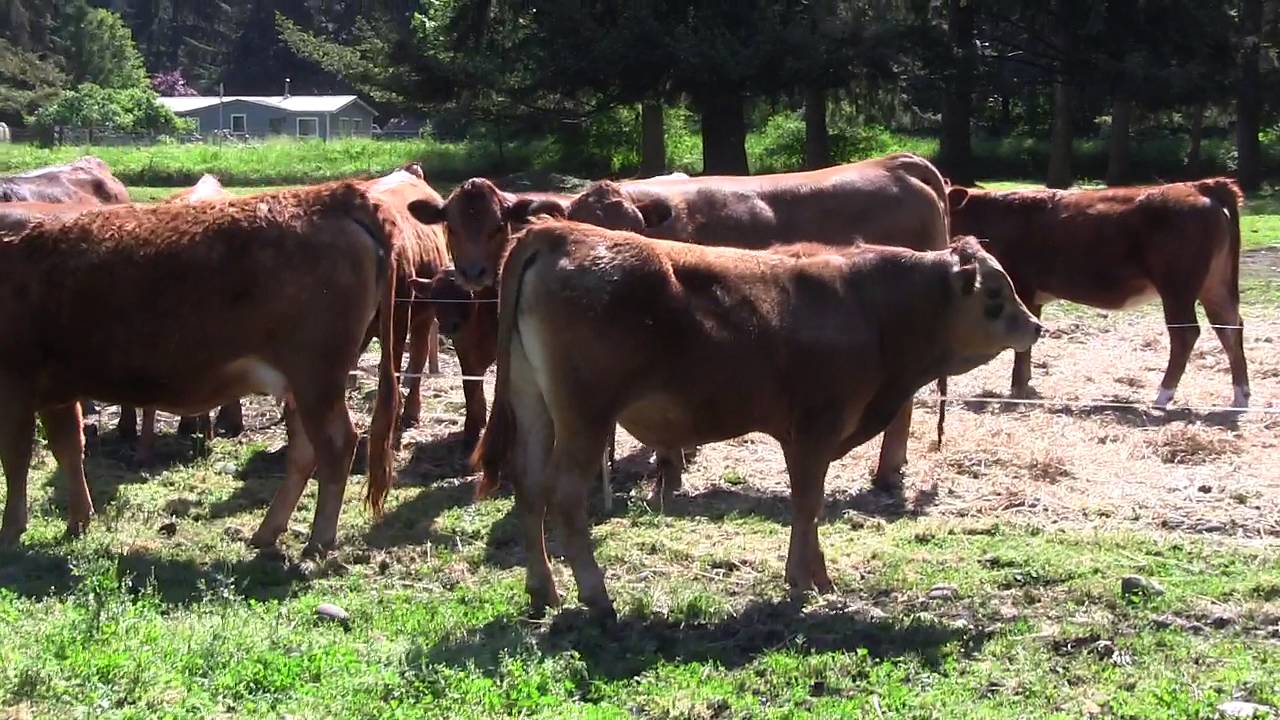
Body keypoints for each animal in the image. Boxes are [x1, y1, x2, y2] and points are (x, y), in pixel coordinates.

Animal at [0, 182, 402, 554]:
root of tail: (335, 193)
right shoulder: (55, 390)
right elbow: (69, 449)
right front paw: (78, 520)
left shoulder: (14, 385)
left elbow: (15, 459)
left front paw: (11, 529)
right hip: (301, 386)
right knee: (305, 452)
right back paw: (267, 532)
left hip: (316, 377)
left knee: (336, 445)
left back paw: (318, 540)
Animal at [453, 220, 1043, 620]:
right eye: (995, 293)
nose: (1036, 326)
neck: (868, 308)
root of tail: (561, 231)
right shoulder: (814, 429)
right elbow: (807, 505)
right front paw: (806, 581)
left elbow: (808, 508)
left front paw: (815, 577)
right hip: (586, 417)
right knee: (566, 495)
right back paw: (597, 597)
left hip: (535, 407)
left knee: (529, 488)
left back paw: (543, 591)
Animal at [947, 178, 1249, 409]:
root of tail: (1199, 186)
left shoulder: (1021, 289)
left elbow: (1023, 343)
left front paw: (1018, 388)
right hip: (1216, 286)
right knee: (1230, 327)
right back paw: (1241, 397)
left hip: (1177, 288)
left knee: (1186, 334)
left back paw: (1162, 396)